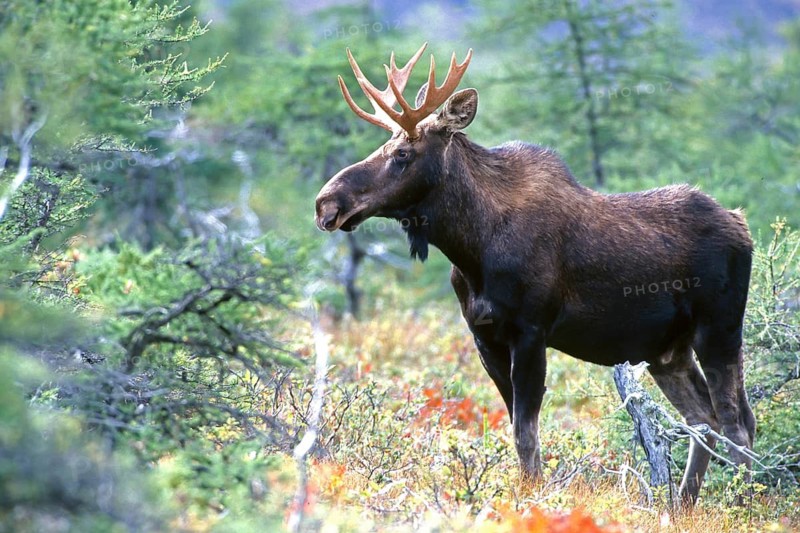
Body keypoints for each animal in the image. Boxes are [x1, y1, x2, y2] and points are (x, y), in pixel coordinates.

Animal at [314, 43, 756, 505]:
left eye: (403, 153)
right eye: (387, 144)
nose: (327, 202)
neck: (471, 248)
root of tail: (742, 225)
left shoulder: (531, 331)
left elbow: (525, 434)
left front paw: (530, 497)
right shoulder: (484, 336)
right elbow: (516, 430)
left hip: (719, 328)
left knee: (737, 424)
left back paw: (743, 504)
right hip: (666, 351)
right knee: (704, 419)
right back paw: (683, 506)